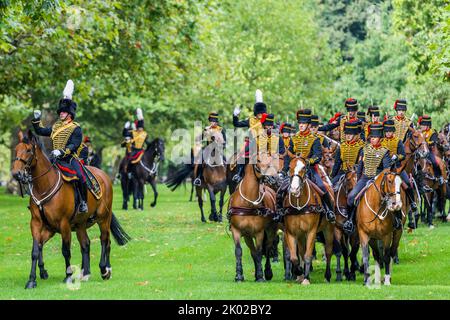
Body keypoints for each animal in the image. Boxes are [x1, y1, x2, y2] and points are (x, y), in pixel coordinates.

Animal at [11, 129, 130, 288]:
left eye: (29, 150)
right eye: (16, 149)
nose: (16, 174)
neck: (44, 186)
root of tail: (104, 176)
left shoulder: (64, 224)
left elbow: (65, 250)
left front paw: (67, 276)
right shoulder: (37, 223)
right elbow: (36, 249)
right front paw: (32, 280)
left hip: (103, 218)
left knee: (105, 240)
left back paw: (105, 269)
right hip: (80, 225)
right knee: (85, 244)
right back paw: (85, 273)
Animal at [229, 152, 278, 280]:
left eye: (270, 160)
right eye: (258, 160)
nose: (273, 177)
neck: (248, 203)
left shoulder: (259, 232)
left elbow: (260, 251)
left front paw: (261, 276)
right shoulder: (236, 230)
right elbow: (239, 251)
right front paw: (239, 275)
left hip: (270, 230)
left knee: (268, 247)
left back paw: (267, 272)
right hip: (247, 235)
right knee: (253, 252)